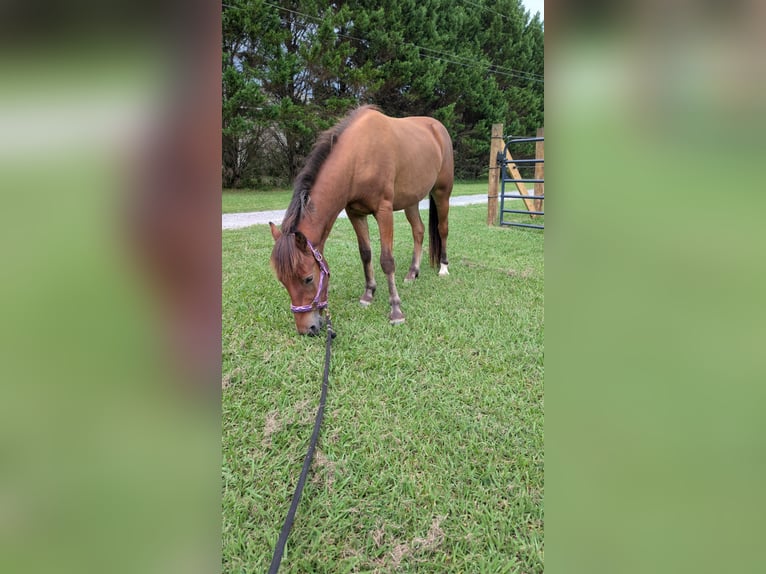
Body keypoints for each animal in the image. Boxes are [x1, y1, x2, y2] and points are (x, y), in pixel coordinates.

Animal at [269, 105, 453, 335]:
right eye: (282, 281)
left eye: (308, 278)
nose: (307, 329)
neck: (358, 158)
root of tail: (437, 127)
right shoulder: (354, 213)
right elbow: (365, 253)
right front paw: (368, 294)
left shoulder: (384, 211)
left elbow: (387, 261)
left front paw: (396, 310)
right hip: (411, 200)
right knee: (418, 230)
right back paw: (413, 272)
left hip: (442, 192)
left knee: (442, 228)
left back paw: (443, 268)